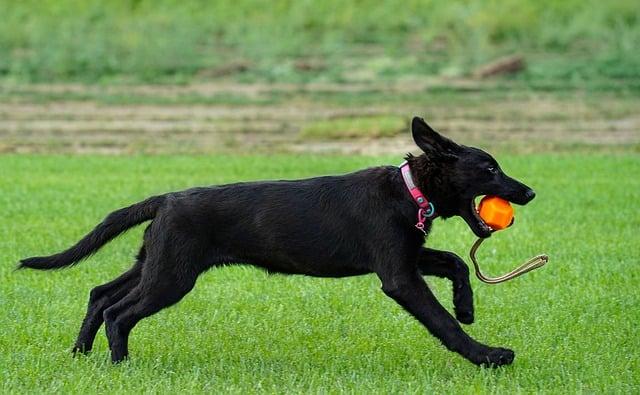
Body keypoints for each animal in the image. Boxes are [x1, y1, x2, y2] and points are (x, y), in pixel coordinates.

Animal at [18, 117, 536, 368]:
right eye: (490, 169)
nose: (529, 193)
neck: (409, 191)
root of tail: (166, 198)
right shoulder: (398, 275)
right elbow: (441, 322)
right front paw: (488, 355)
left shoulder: (409, 256)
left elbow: (454, 262)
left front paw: (466, 306)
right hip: (171, 276)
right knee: (118, 312)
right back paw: (120, 365)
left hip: (153, 262)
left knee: (100, 294)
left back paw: (82, 354)